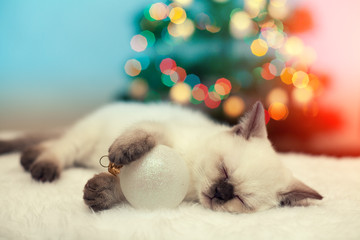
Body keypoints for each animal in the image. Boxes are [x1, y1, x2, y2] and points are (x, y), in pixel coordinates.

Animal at [0, 101, 322, 212]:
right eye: (223, 170)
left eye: (240, 199)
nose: (220, 192)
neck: (192, 178)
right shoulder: (162, 129)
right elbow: (142, 136)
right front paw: (125, 151)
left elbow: (125, 190)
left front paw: (100, 193)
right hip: (83, 140)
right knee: (59, 149)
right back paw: (40, 168)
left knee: (52, 145)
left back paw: (29, 160)